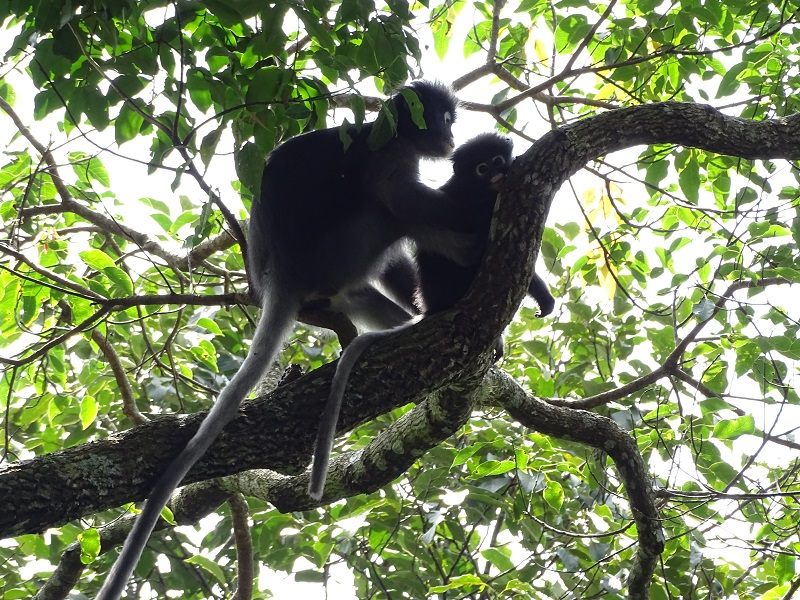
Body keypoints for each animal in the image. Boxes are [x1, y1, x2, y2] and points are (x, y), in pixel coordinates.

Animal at [97, 80, 472, 600]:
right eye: (444, 119)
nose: (451, 136)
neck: (390, 133)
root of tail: (279, 273)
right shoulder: (389, 161)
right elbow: (400, 200)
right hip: (343, 250)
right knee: (392, 214)